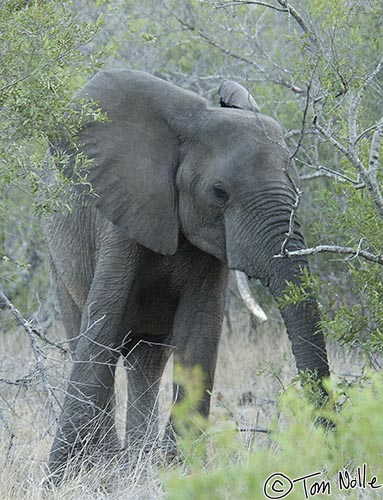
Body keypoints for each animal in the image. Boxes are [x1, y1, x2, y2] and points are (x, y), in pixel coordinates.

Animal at [45, 68, 332, 478]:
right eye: (219, 192)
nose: (330, 453)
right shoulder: (120, 218)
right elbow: (103, 324)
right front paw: (67, 477)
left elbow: (200, 328)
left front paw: (177, 469)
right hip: (57, 256)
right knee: (85, 333)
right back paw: (117, 462)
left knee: (146, 360)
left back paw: (139, 460)